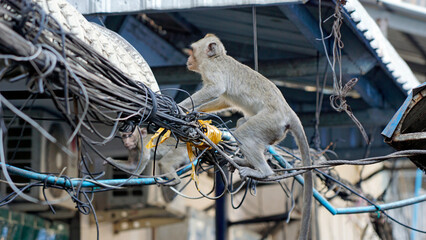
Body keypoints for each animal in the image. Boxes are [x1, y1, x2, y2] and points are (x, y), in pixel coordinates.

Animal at [179, 34, 312, 240]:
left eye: (192, 50)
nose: (188, 59)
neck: (217, 58)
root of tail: (290, 113)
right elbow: (223, 99)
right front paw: (194, 111)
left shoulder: (211, 69)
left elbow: (215, 89)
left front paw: (181, 106)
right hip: (273, 129)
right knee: (243, 125)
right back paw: (247, 162)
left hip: (271, 121)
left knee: (244, 133)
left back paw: (263, 172)